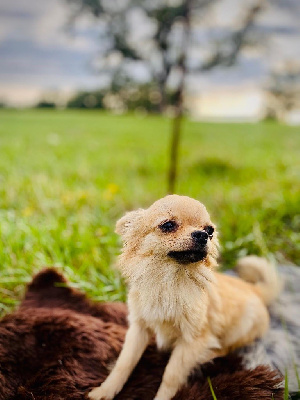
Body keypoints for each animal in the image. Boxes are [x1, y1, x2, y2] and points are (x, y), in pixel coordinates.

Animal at [89, 195, 282, 400]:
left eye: (210, 231)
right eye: (168, 225)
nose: (202, 235)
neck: (170, 281)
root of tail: (255, 290)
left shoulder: (191, 341)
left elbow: (171, 375)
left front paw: (162, 398)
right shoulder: (139, 328)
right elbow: (124, 362)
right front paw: (106, 390)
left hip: (240, 328)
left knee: (225, 348)